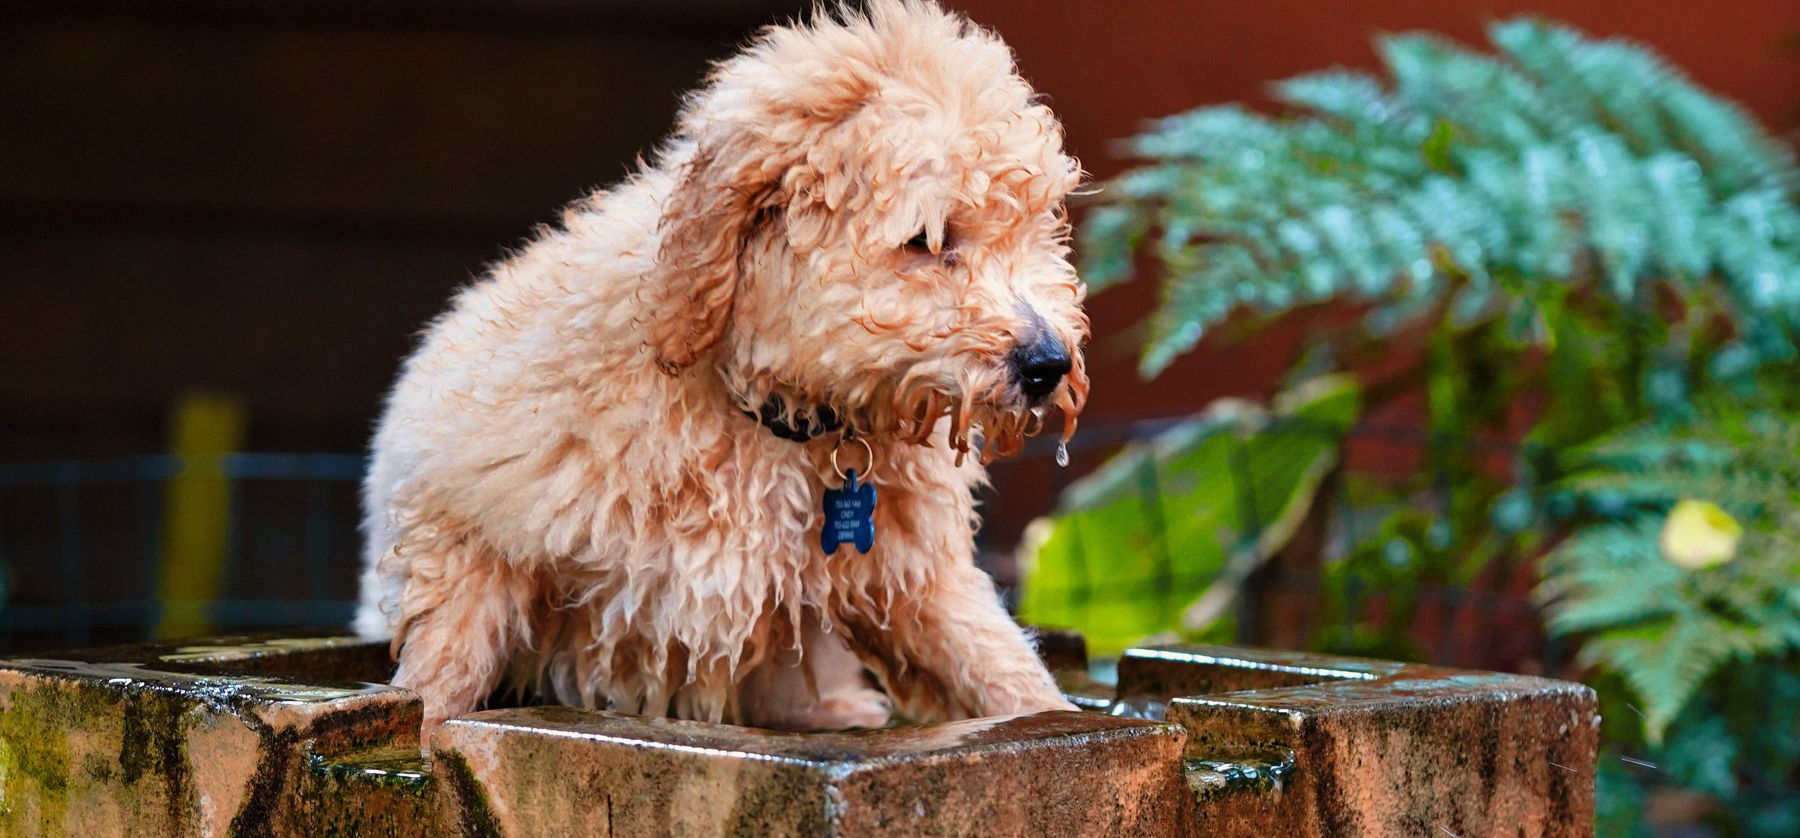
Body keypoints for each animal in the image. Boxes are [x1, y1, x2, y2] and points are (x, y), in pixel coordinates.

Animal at [351, 0, 1080, 748]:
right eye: (927, 241)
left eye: (1038, 230)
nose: (1049, 364)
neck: (772, 419)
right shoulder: (469, 523)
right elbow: (446, 665)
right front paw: (420, 729)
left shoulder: (917, 578)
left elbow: (998, 666)